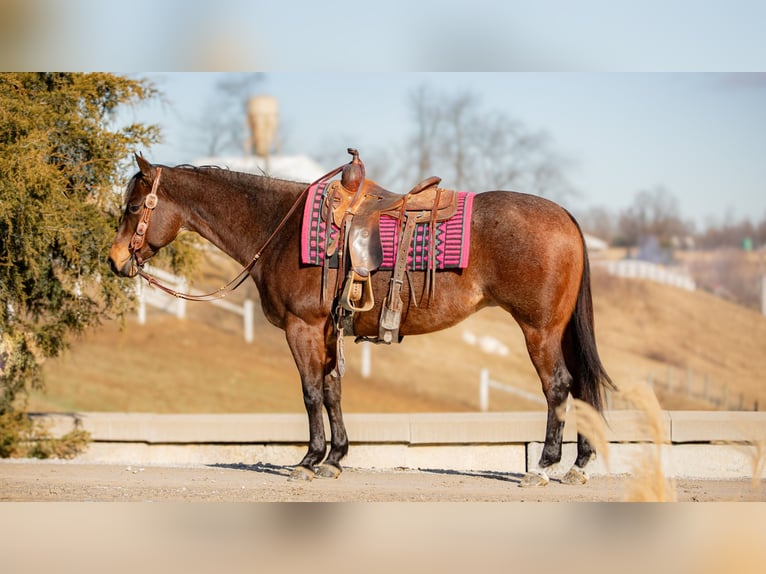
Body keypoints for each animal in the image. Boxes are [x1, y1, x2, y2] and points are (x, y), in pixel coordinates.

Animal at [108, 154, 616, 490]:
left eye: (132, 207)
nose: (114, 261)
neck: (279, 229)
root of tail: (566, 217)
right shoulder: (328, 331)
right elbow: (333, 391)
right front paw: (335, 458)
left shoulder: (303, 328)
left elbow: (311, 392)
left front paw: (309, 459)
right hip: (560, 331)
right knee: (582, 387)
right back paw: (578, 465)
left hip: (540, 330)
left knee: (557, 387)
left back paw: (546, 465)